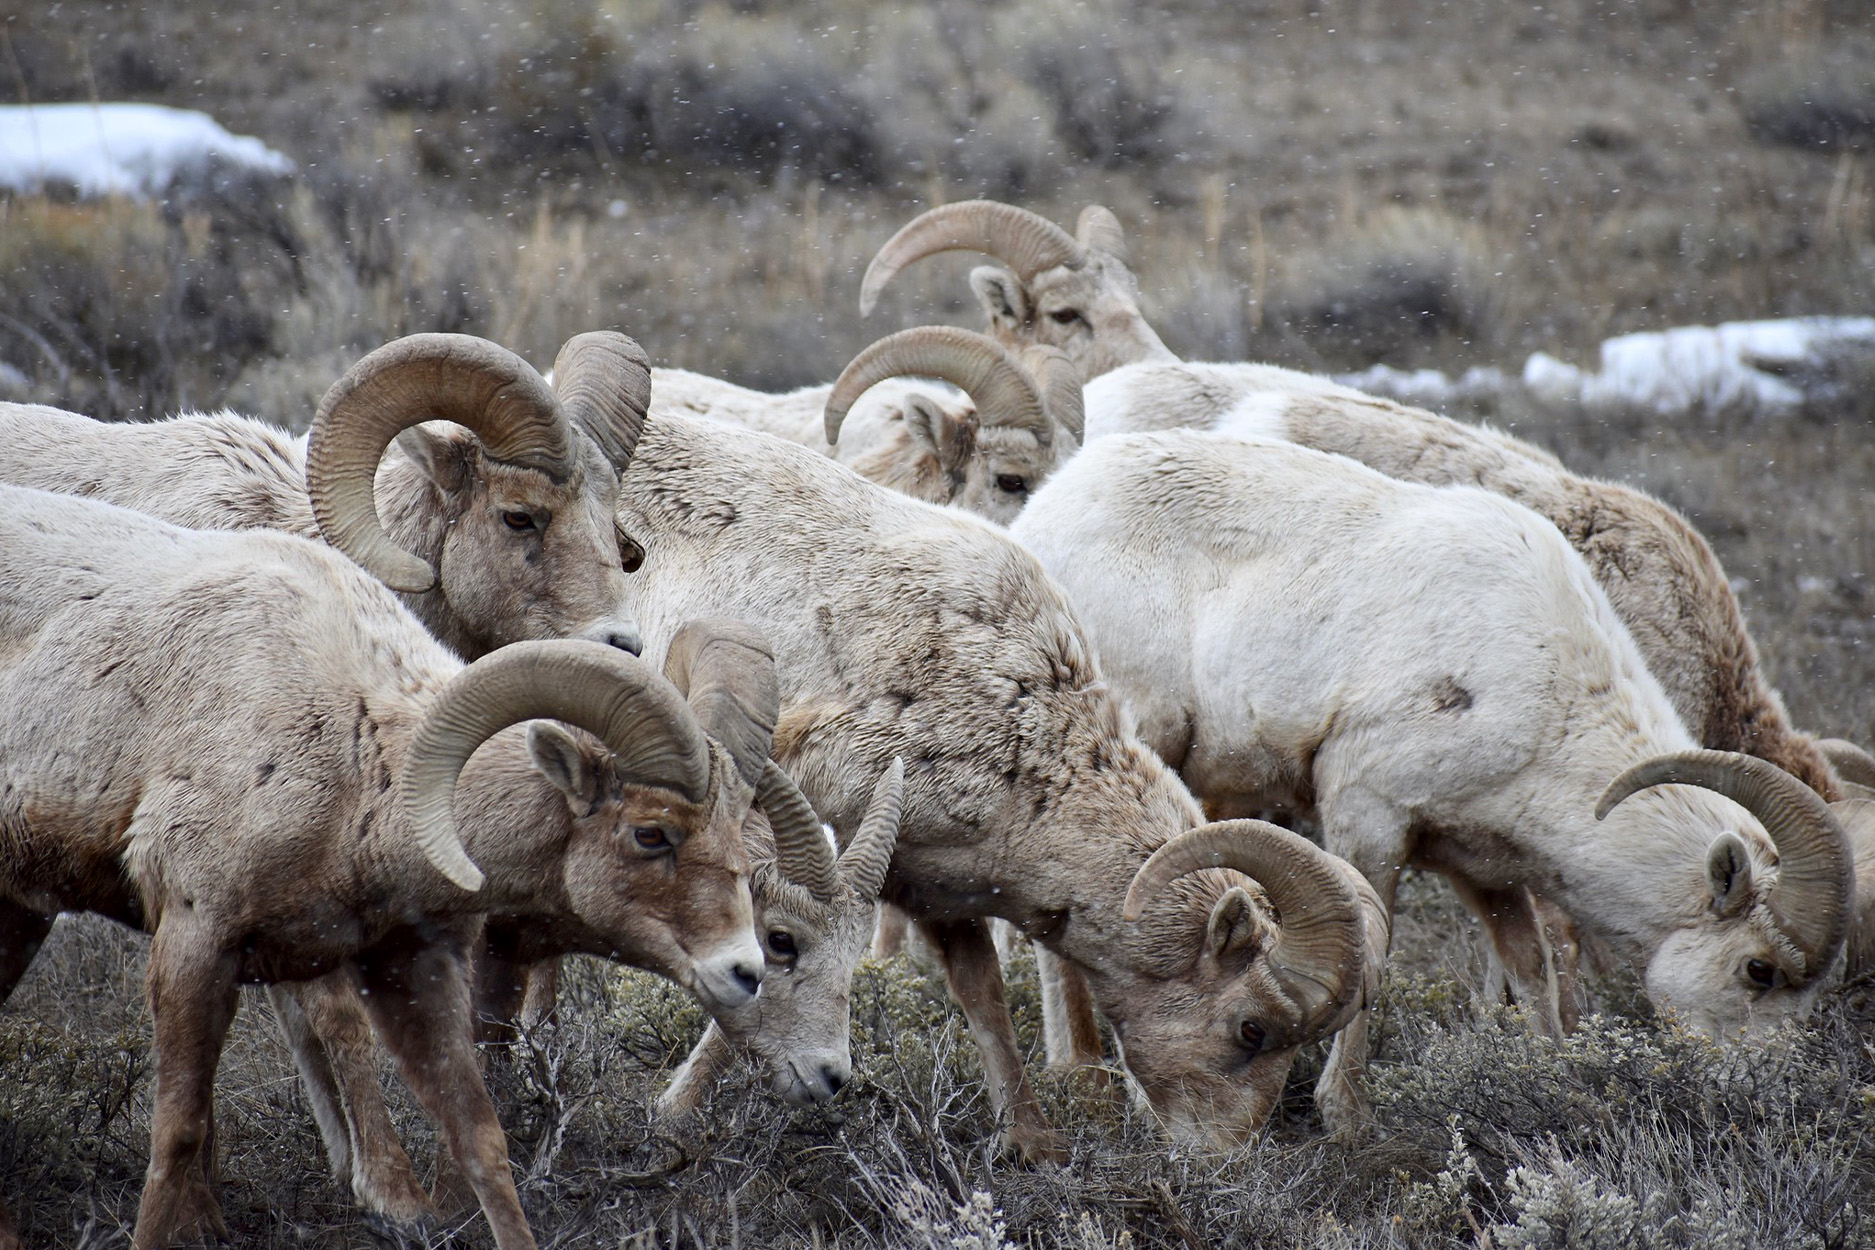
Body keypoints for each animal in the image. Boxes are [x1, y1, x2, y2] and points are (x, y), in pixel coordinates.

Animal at [0, 486, 772, 1250]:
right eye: (651, 833)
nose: (746, 971)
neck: (357, 760)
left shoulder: (408, 967)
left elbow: (480, 1137)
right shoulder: (195, 942)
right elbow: (180, 1134)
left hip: (21, 917)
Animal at [606, 411, 1378, 1158]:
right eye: (1252, 1028)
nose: (1223, 1161)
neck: (1019, 736)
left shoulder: (933, 884)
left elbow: (983, 997)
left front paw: (1030, 1141)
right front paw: (674, 1116)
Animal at [1010, 430, 1854, 1123]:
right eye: (1759, 970)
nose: (1766, 1093)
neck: (1547, 697)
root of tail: (1044, 513)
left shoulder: (1484, 868)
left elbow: (1530, 970)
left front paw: (1551, 1073)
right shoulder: (1367, 818)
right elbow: (1370, 962)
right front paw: (1345, 1118)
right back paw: (1083, 1076)